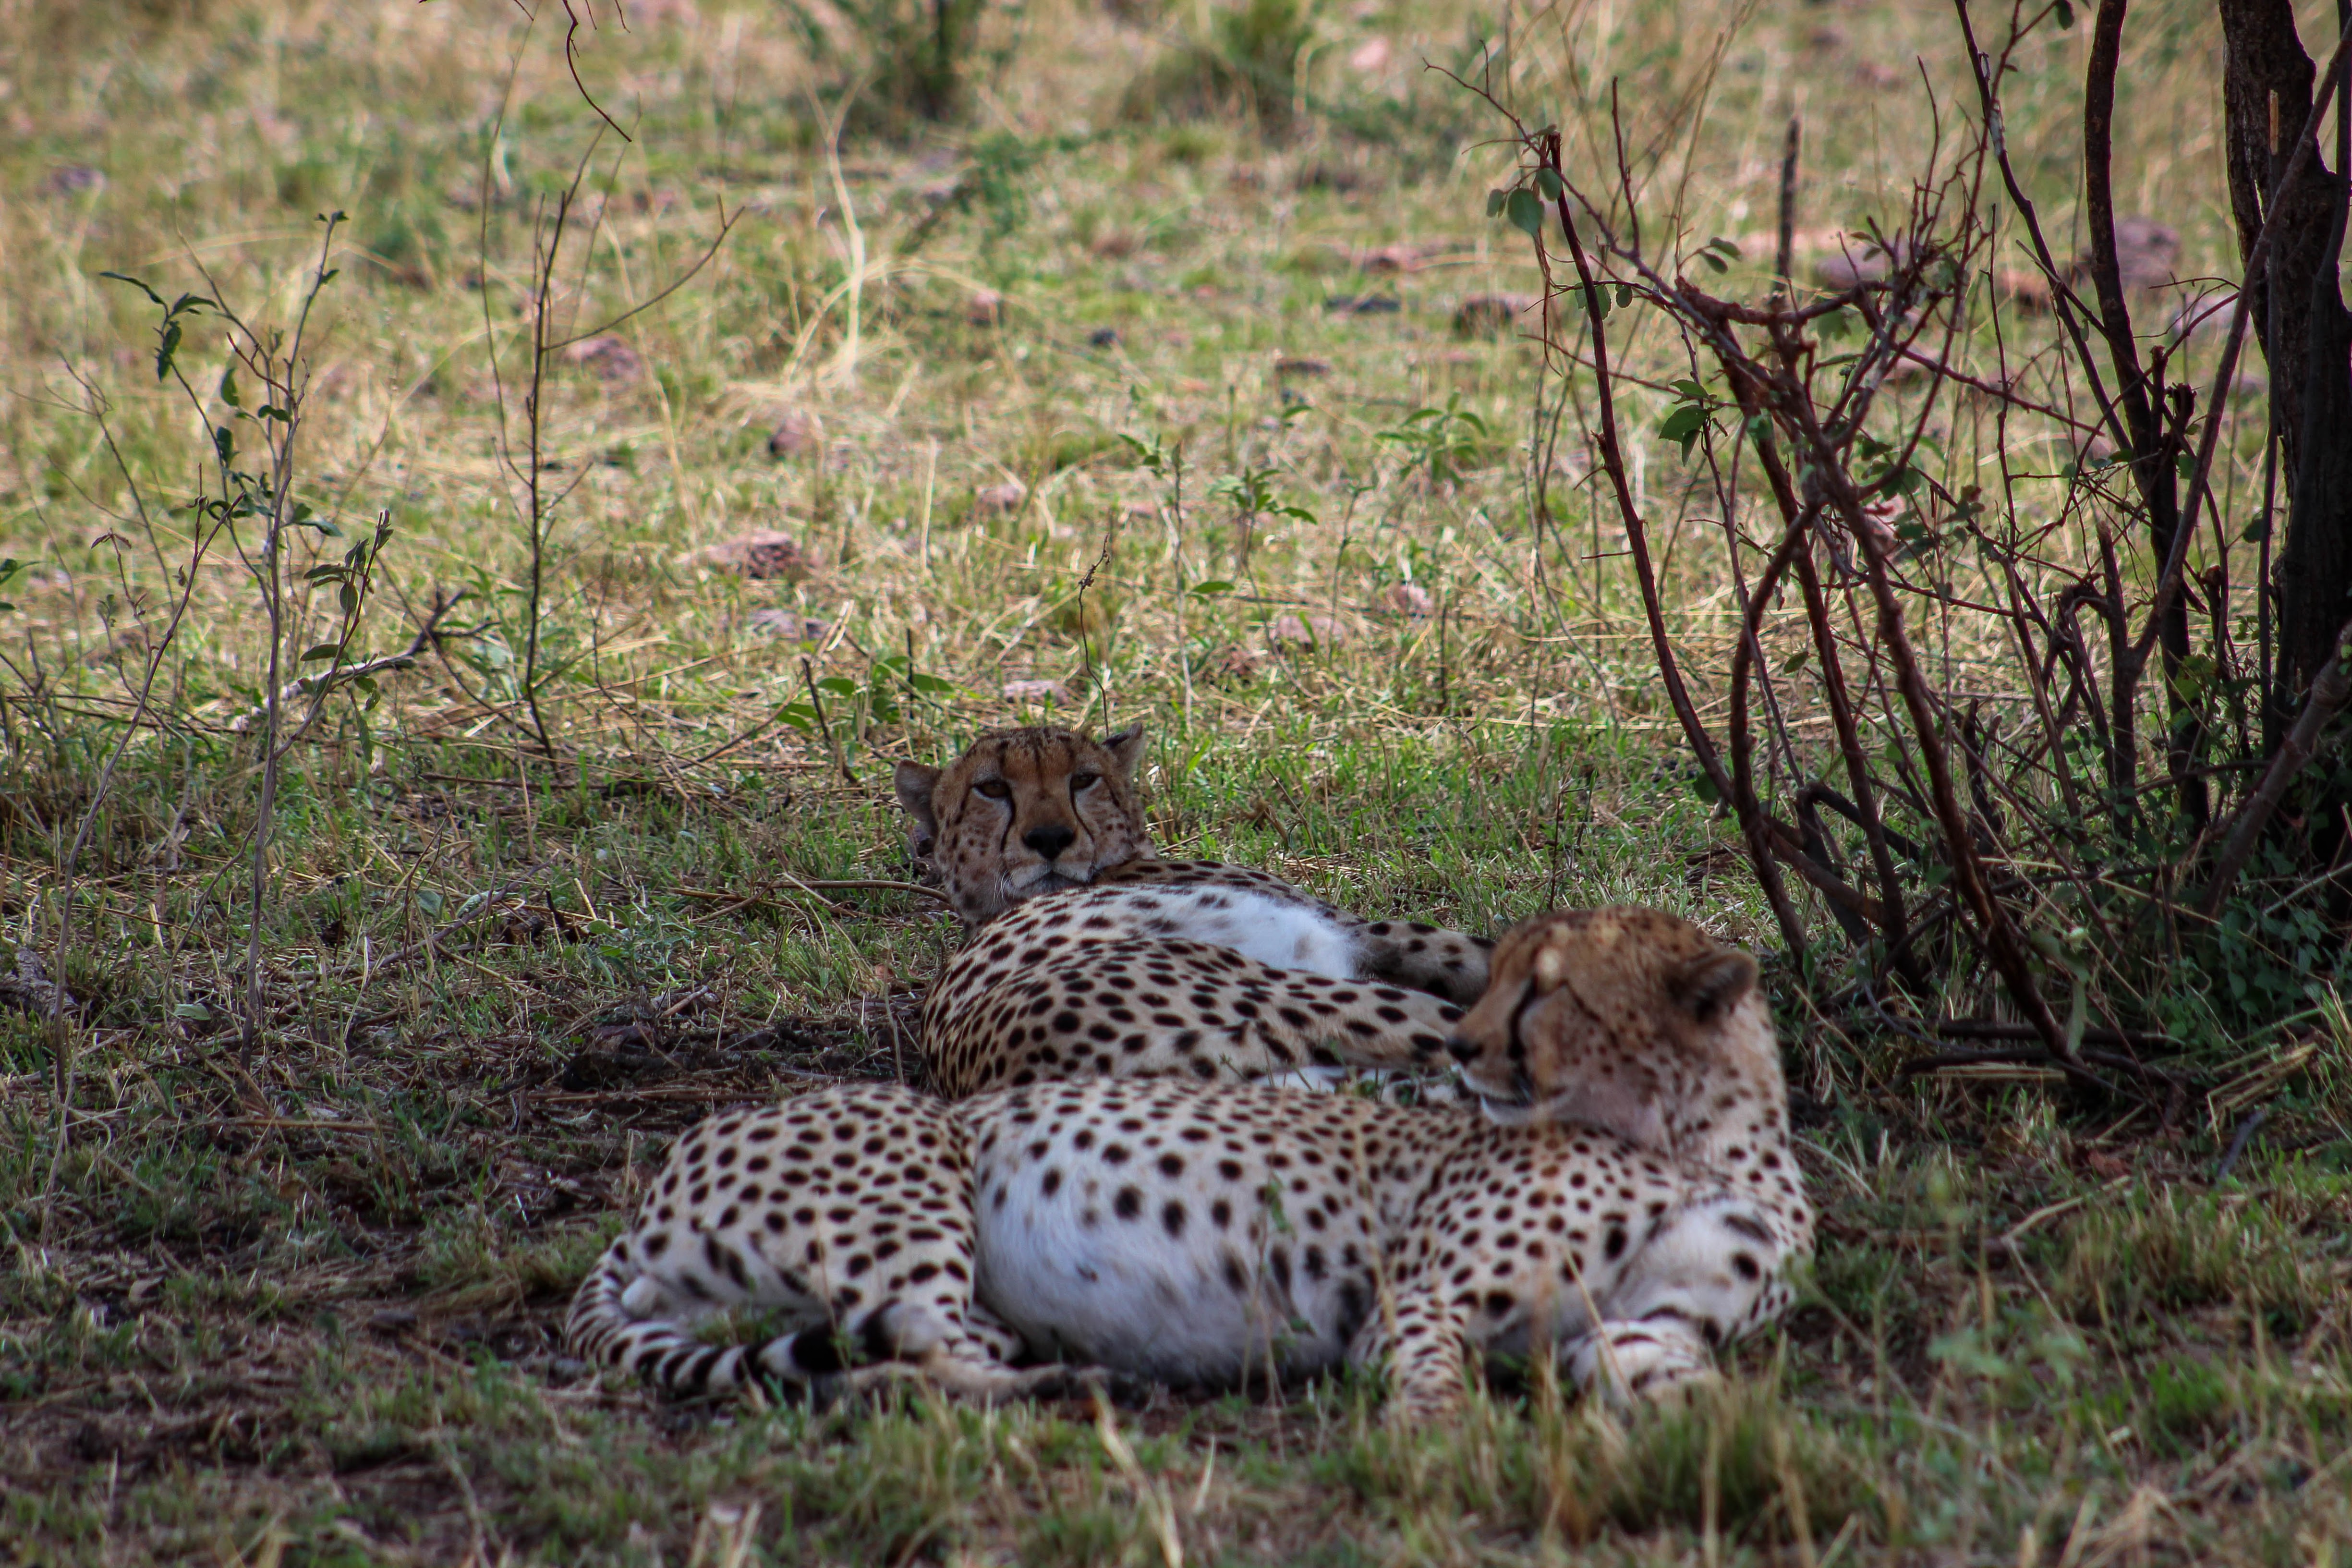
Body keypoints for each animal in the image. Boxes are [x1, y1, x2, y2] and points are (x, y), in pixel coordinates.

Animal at [569, 902, 1816, 1420]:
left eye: (1549, 989)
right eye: (1504, 972)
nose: (1467, 1046)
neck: (1689, 1135)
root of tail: (650, 1196)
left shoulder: (1643, 1330)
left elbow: (1691, 1394)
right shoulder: (1417, 1296)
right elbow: (1427, 1388)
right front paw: (1440, 1452)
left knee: (876, 1361)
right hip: (909, 1169)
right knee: (925, 1349)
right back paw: (1074, 1384)